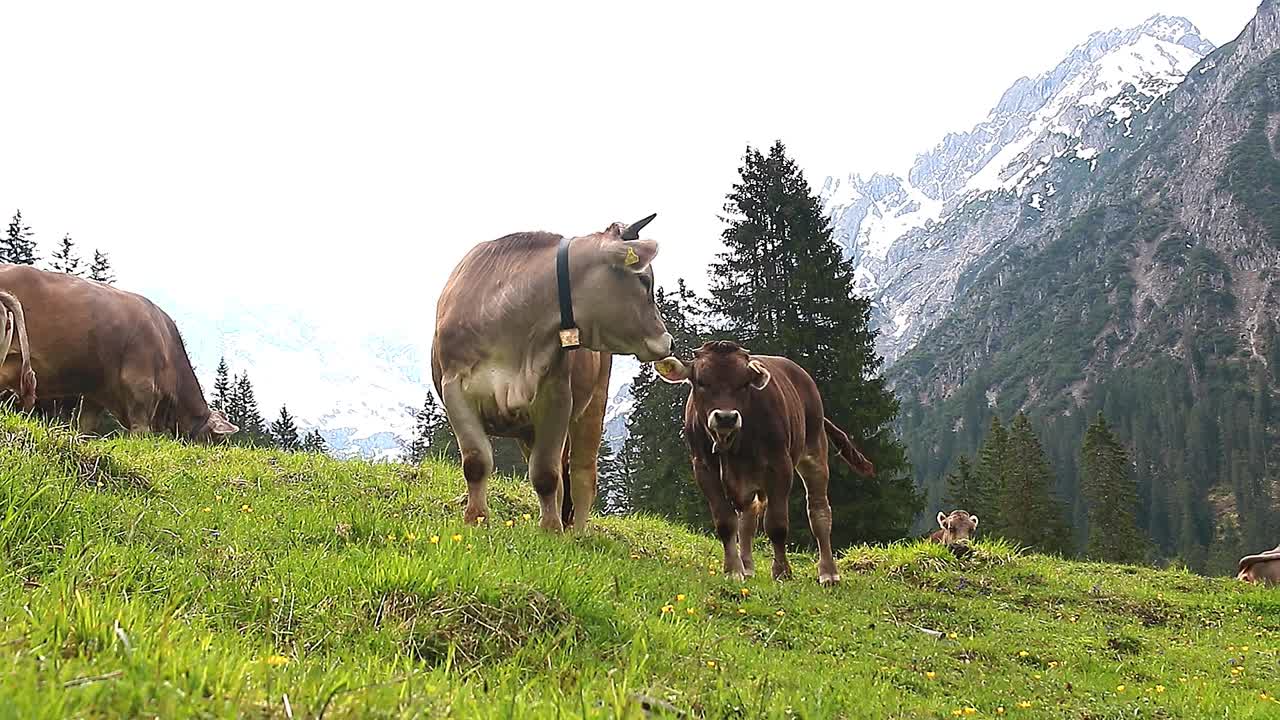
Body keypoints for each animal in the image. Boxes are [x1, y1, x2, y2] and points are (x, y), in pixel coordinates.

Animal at [432, 215, 675, 530]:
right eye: (644, 280)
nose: (668, 340)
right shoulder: (455, 389)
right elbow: (476, 461)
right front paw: (476, 519)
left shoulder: (557, 396)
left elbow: (546, 473)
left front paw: (550, 530)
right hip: (527, 430)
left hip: (594, 403)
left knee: (582, 473)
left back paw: (577, 532)